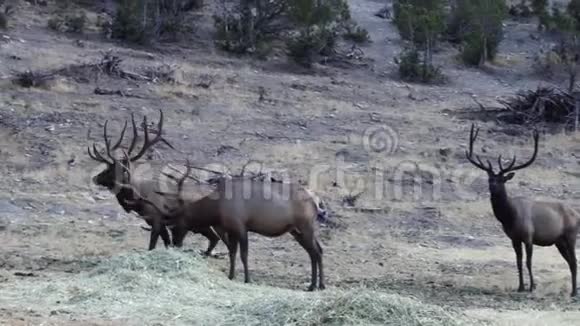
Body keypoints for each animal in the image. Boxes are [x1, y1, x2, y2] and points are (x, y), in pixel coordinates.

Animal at [87, 109, 225, 255]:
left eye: (109, 170)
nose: (95, 178)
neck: (138, 198)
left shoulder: (157, 219)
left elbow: (152, 245)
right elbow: (166, 243)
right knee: (215, 238)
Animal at [466, 123, 580, 296]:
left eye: (502, 180)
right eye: (490, 179)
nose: (493, 187)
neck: (509, 217)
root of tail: (577, 214)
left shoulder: (528, 235)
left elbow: (528, 262)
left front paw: (532, 287)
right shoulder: (514, 238)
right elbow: (518, 262)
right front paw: (520, 287)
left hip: (571, 235)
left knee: (574, 261)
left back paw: (574, 292)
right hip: (559, 241)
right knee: (570, 261)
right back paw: (573, 290)